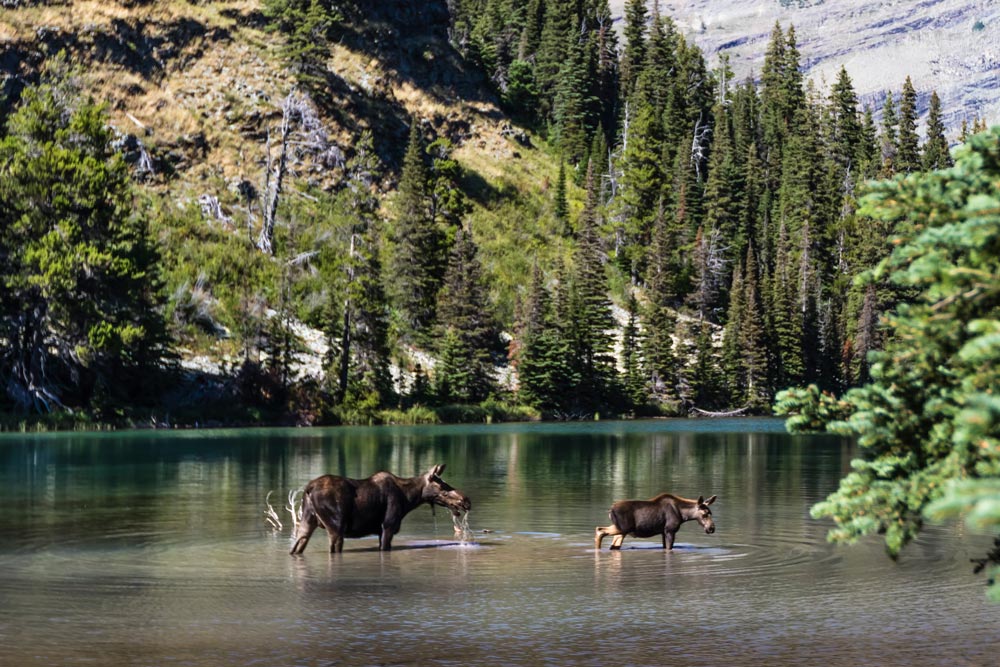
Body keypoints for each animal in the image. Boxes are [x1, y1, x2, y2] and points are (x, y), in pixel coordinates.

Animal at [292, 462, 470, 556]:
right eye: (443, 488)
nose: (466, 501)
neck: (409, 499)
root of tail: (308, 488)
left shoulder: (379, 530)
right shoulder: (388, 526)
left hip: (307, 520)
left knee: (297, 545)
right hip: (336, 527)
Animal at [592, 494, 720, 552]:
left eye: (711, 513)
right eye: (704, 514)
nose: (711, 528)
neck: (684, 515)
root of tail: (610, 510)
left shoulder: (663, 532)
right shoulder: (670, 530)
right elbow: (669, 548)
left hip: (621, 530)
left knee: (613, 545)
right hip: (623, 528)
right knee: (599, 530)